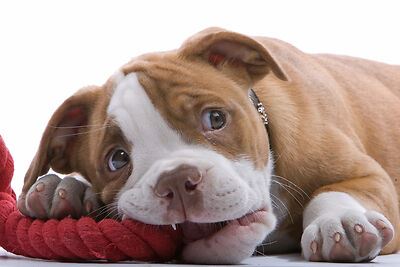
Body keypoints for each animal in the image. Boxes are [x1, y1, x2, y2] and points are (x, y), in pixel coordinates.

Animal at [17, 27, 398, 264]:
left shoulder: (369, 177)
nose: (176, 180)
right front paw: (65, 190)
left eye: (215, 119)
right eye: (117, 160)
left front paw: (343, 220)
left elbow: (331, 191)